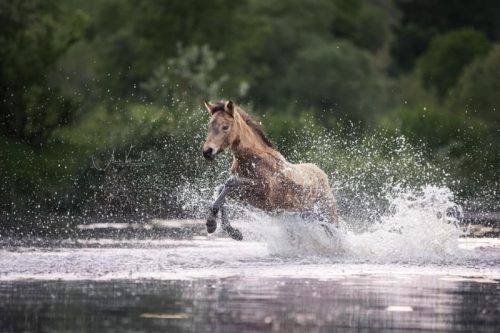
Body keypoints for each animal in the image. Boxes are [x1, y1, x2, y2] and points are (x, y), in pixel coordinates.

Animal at [201, 98, 338, 239]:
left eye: (225, 126)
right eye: (209, 126)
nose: (207, 152)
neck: (252, 159)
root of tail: (324, 177)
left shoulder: (264, 190)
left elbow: (230, 182)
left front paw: (212, 223)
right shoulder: (245, 195)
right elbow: (221, 189)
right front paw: (230, 231)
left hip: (328, 219)